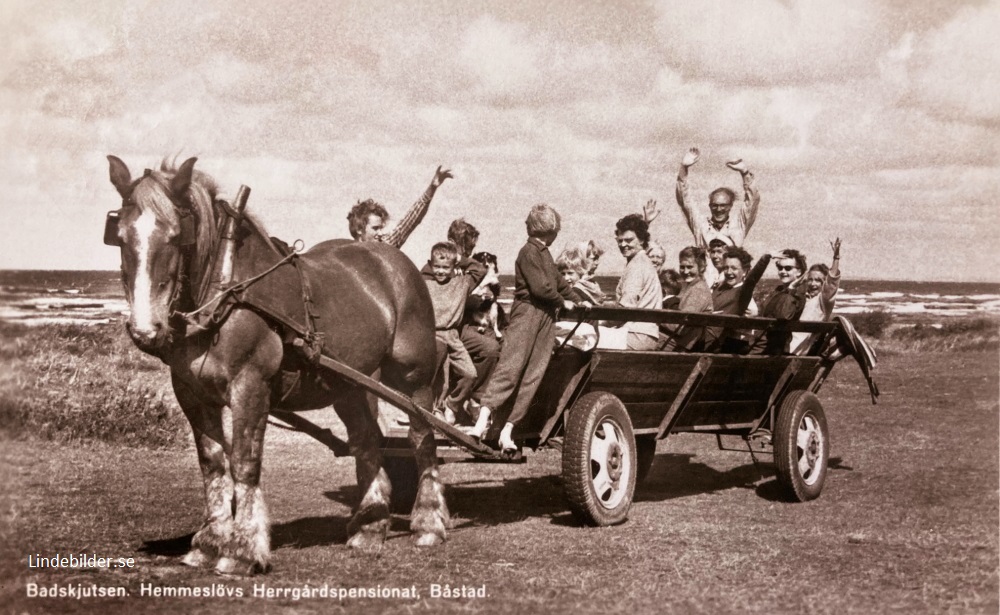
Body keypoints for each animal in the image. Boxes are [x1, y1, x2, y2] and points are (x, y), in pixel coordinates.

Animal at [103, 155, 448, 576]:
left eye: (174, 236)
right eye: (119, 236)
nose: (145, 329)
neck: (225, 289)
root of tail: (392, 259)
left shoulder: (251, 386)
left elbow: (244, 463)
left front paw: (241, 548)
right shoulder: (191, 394)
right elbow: (213, 465)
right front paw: (210, 541)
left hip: (415, 377)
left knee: (422, 439)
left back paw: (428, 522)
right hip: (351, 385)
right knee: (367, 443)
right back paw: (369, 526)